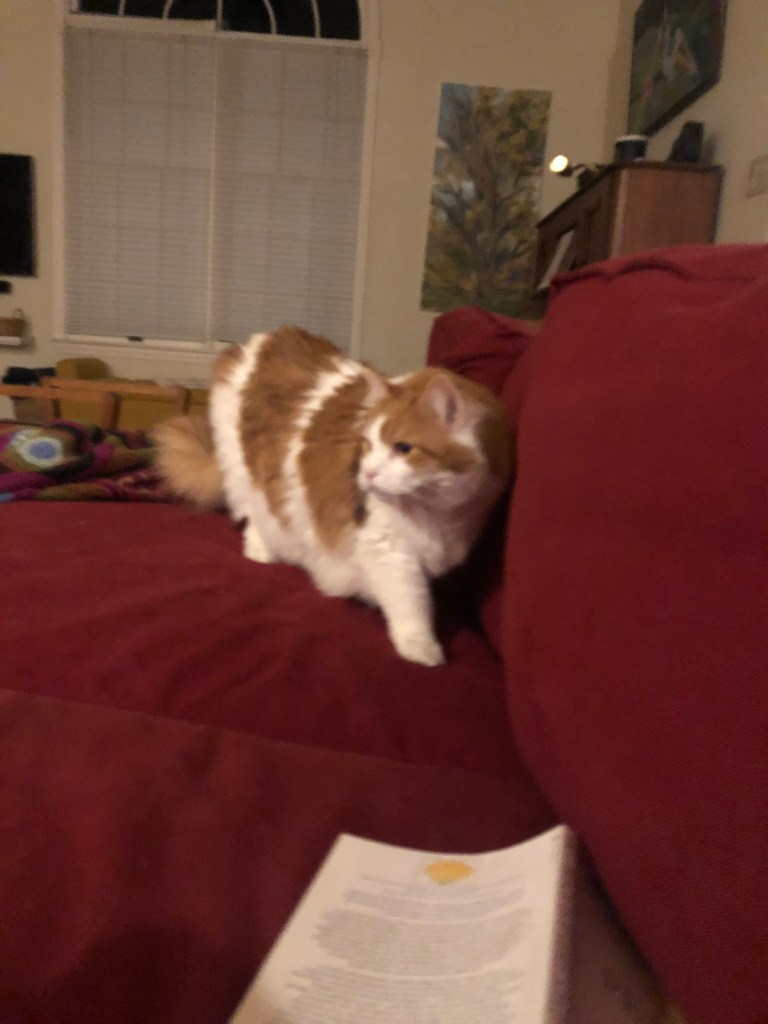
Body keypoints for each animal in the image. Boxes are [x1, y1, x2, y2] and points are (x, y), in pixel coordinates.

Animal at [153, 326, 511, 666]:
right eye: (367, 444)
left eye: (403, 449)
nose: (367, 473)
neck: (439, 512)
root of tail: (267, 338)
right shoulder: (390, 551)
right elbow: (411, 605)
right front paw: (421, 647)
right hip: (246, 471)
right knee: (257, 512)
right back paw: (262, 551)